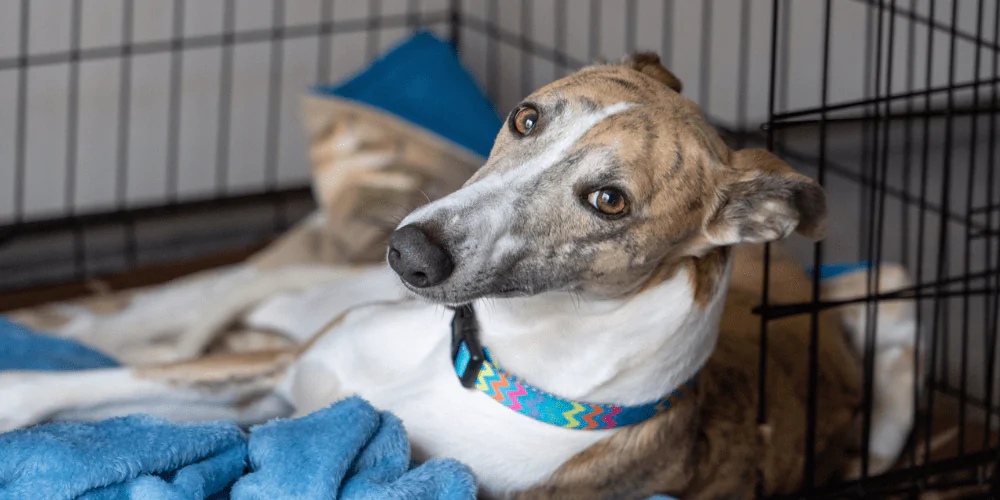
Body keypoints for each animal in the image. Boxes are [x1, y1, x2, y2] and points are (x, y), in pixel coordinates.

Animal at [0, 52, 916, 498]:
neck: (479, 368)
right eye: (528, 116)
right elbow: (68, 389)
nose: (410, 253)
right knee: (202, 299)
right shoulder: (281, 372)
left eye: (609, 200)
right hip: (316, 302)